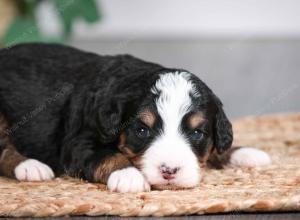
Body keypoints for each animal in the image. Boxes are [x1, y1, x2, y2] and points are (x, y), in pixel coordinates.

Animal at [0, 43, 272, 192]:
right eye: (142, 130)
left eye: (197, 133)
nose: (169, 171)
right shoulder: (78, 141)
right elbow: (108, 155)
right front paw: (128, 175)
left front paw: (244, 153)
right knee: (3, 150)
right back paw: (31, 167)